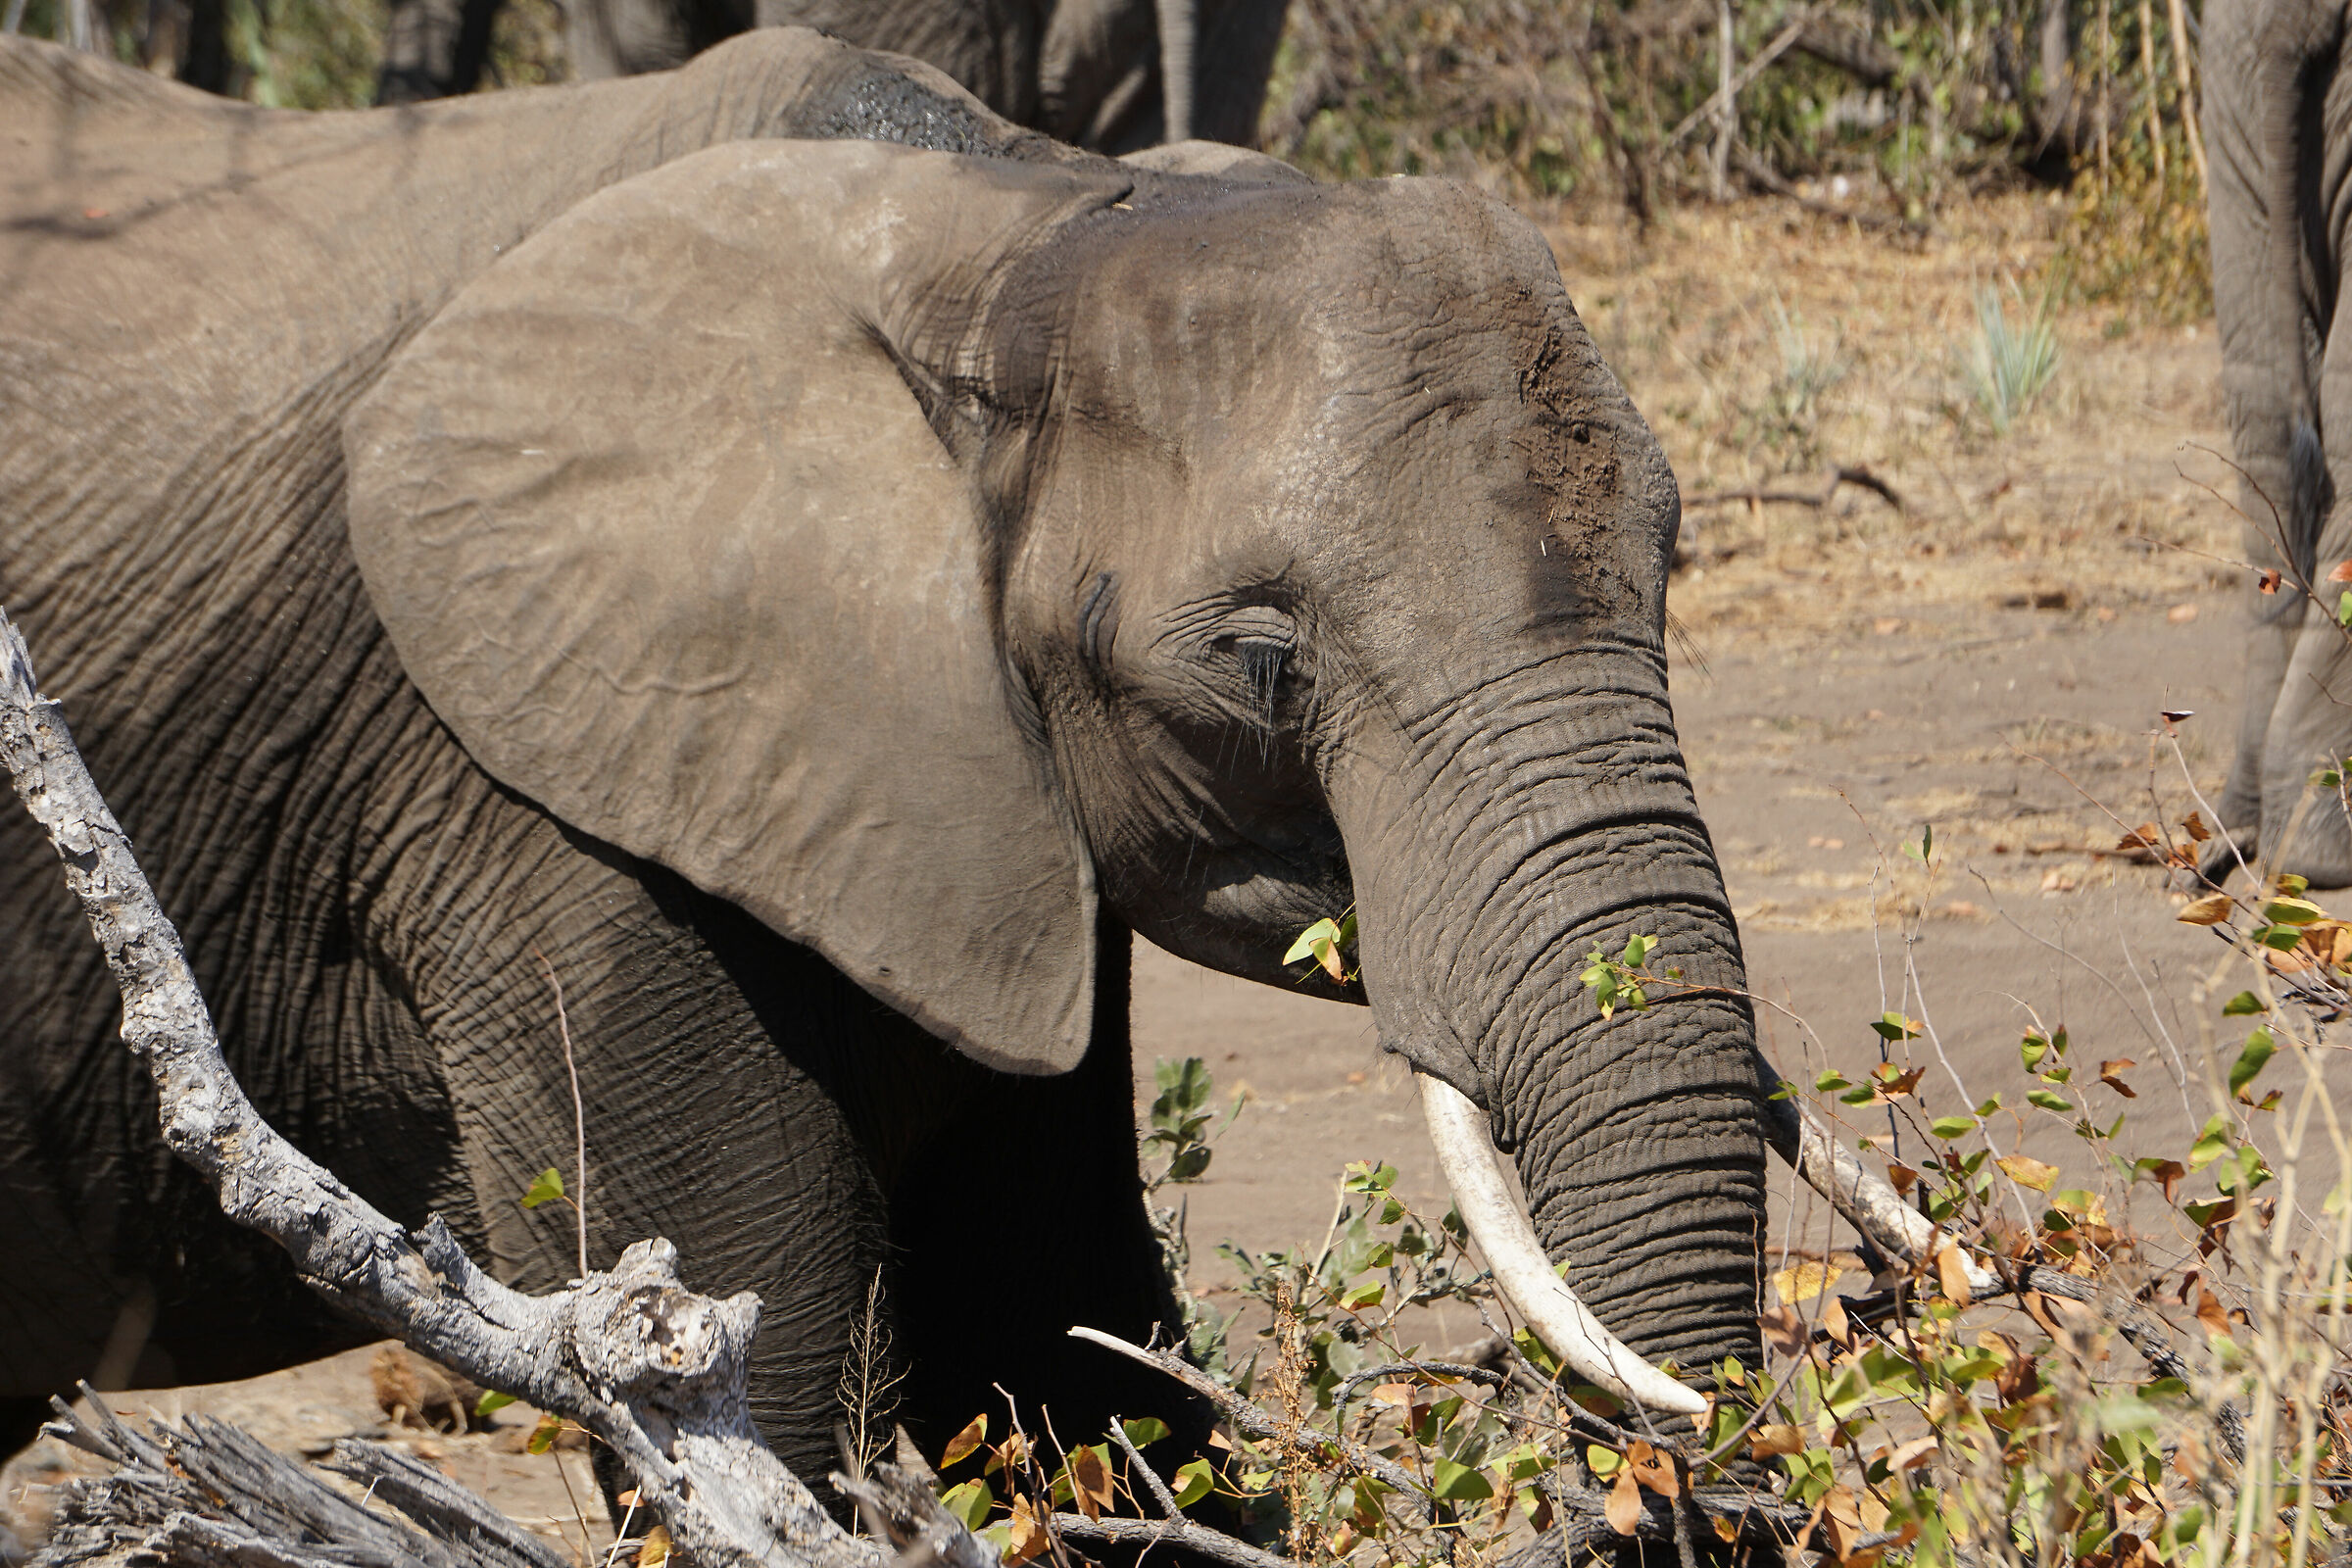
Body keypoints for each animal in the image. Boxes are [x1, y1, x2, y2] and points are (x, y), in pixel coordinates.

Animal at [0, 22, 1772, 1492]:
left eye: (1673, 570)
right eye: (1265, 665)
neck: (1006, 228)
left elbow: (1055, 1323)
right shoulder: (544, 786)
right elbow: (762, 1394)